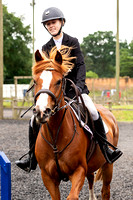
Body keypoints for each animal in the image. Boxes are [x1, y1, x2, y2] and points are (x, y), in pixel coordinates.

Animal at [32, 46, 119, 200]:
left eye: (59, 81)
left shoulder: (78, 170)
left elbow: (72, 196)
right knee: (91, 179)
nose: (42, 111)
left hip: (108, 166)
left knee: (105, 190)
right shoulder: (48, 177)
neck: (55, 138)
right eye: (35, 81)